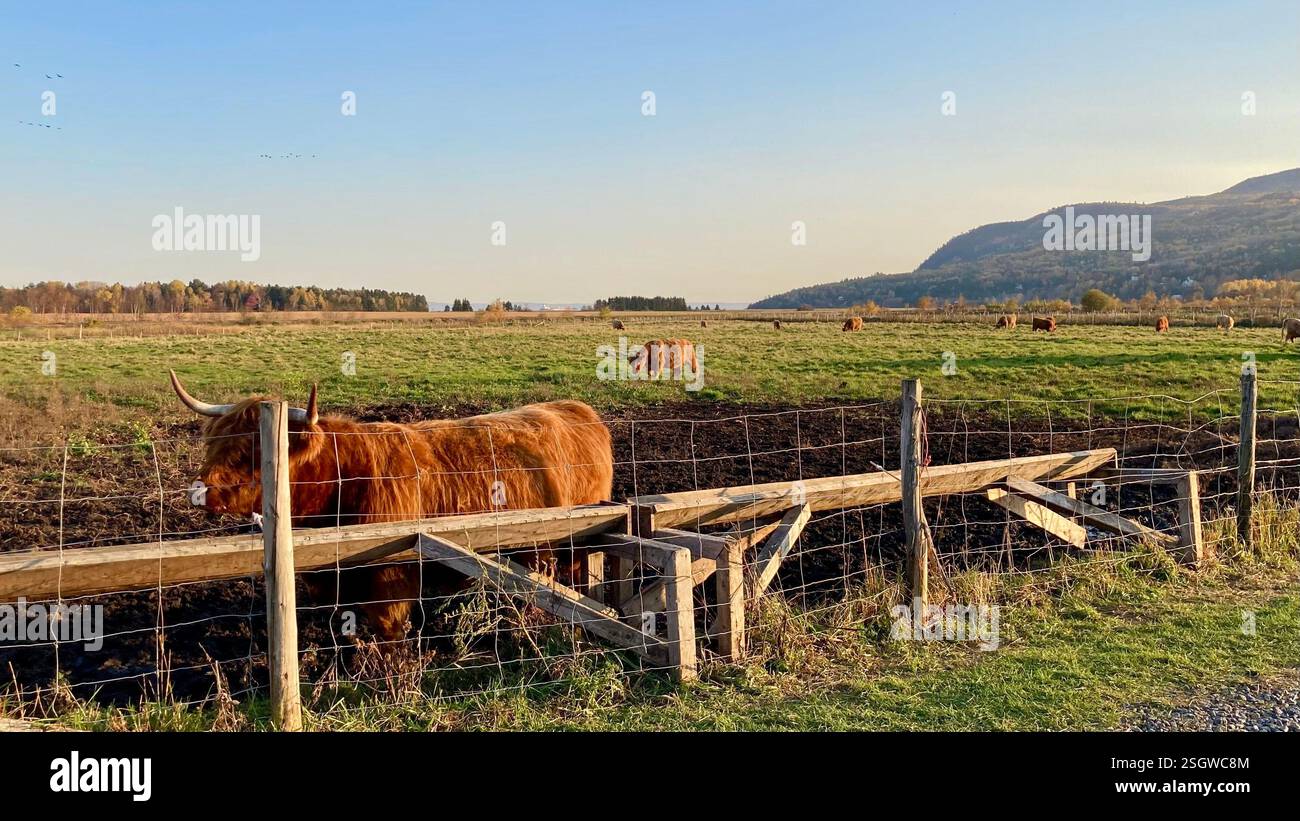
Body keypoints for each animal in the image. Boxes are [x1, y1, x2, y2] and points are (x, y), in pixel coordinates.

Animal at [169, 371, 613, 641]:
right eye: (215, 442)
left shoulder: (389, 580)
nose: (200, 491)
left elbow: (388, 634)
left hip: (570, 543)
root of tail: (575, 408)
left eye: (254, 452)